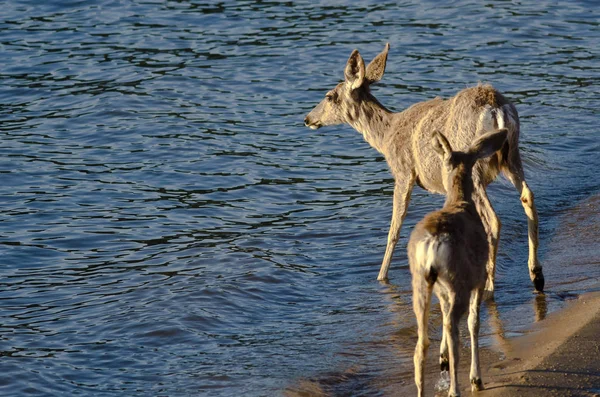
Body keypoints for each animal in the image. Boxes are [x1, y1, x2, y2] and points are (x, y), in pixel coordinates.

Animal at [304, 44, 544, 296]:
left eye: (329, 96)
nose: (308, 119)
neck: (386, 136)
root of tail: (496, 107)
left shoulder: (403, 171)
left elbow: (394, 228)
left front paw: (381, 276)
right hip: (511, 155)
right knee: (527, 196)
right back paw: (536, 276)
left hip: (474, 163)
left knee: (493, 219)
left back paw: (489, 287)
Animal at [408, 128, 506, 394]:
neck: (460, 201)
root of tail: (433, 241)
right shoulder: (479, 279)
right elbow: (474, 323)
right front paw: (475, 378)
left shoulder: (441, 290)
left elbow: (442, 318)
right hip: (458, 280)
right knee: (454, 328)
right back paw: (457, 388)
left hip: (421, 281)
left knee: (421, 341)